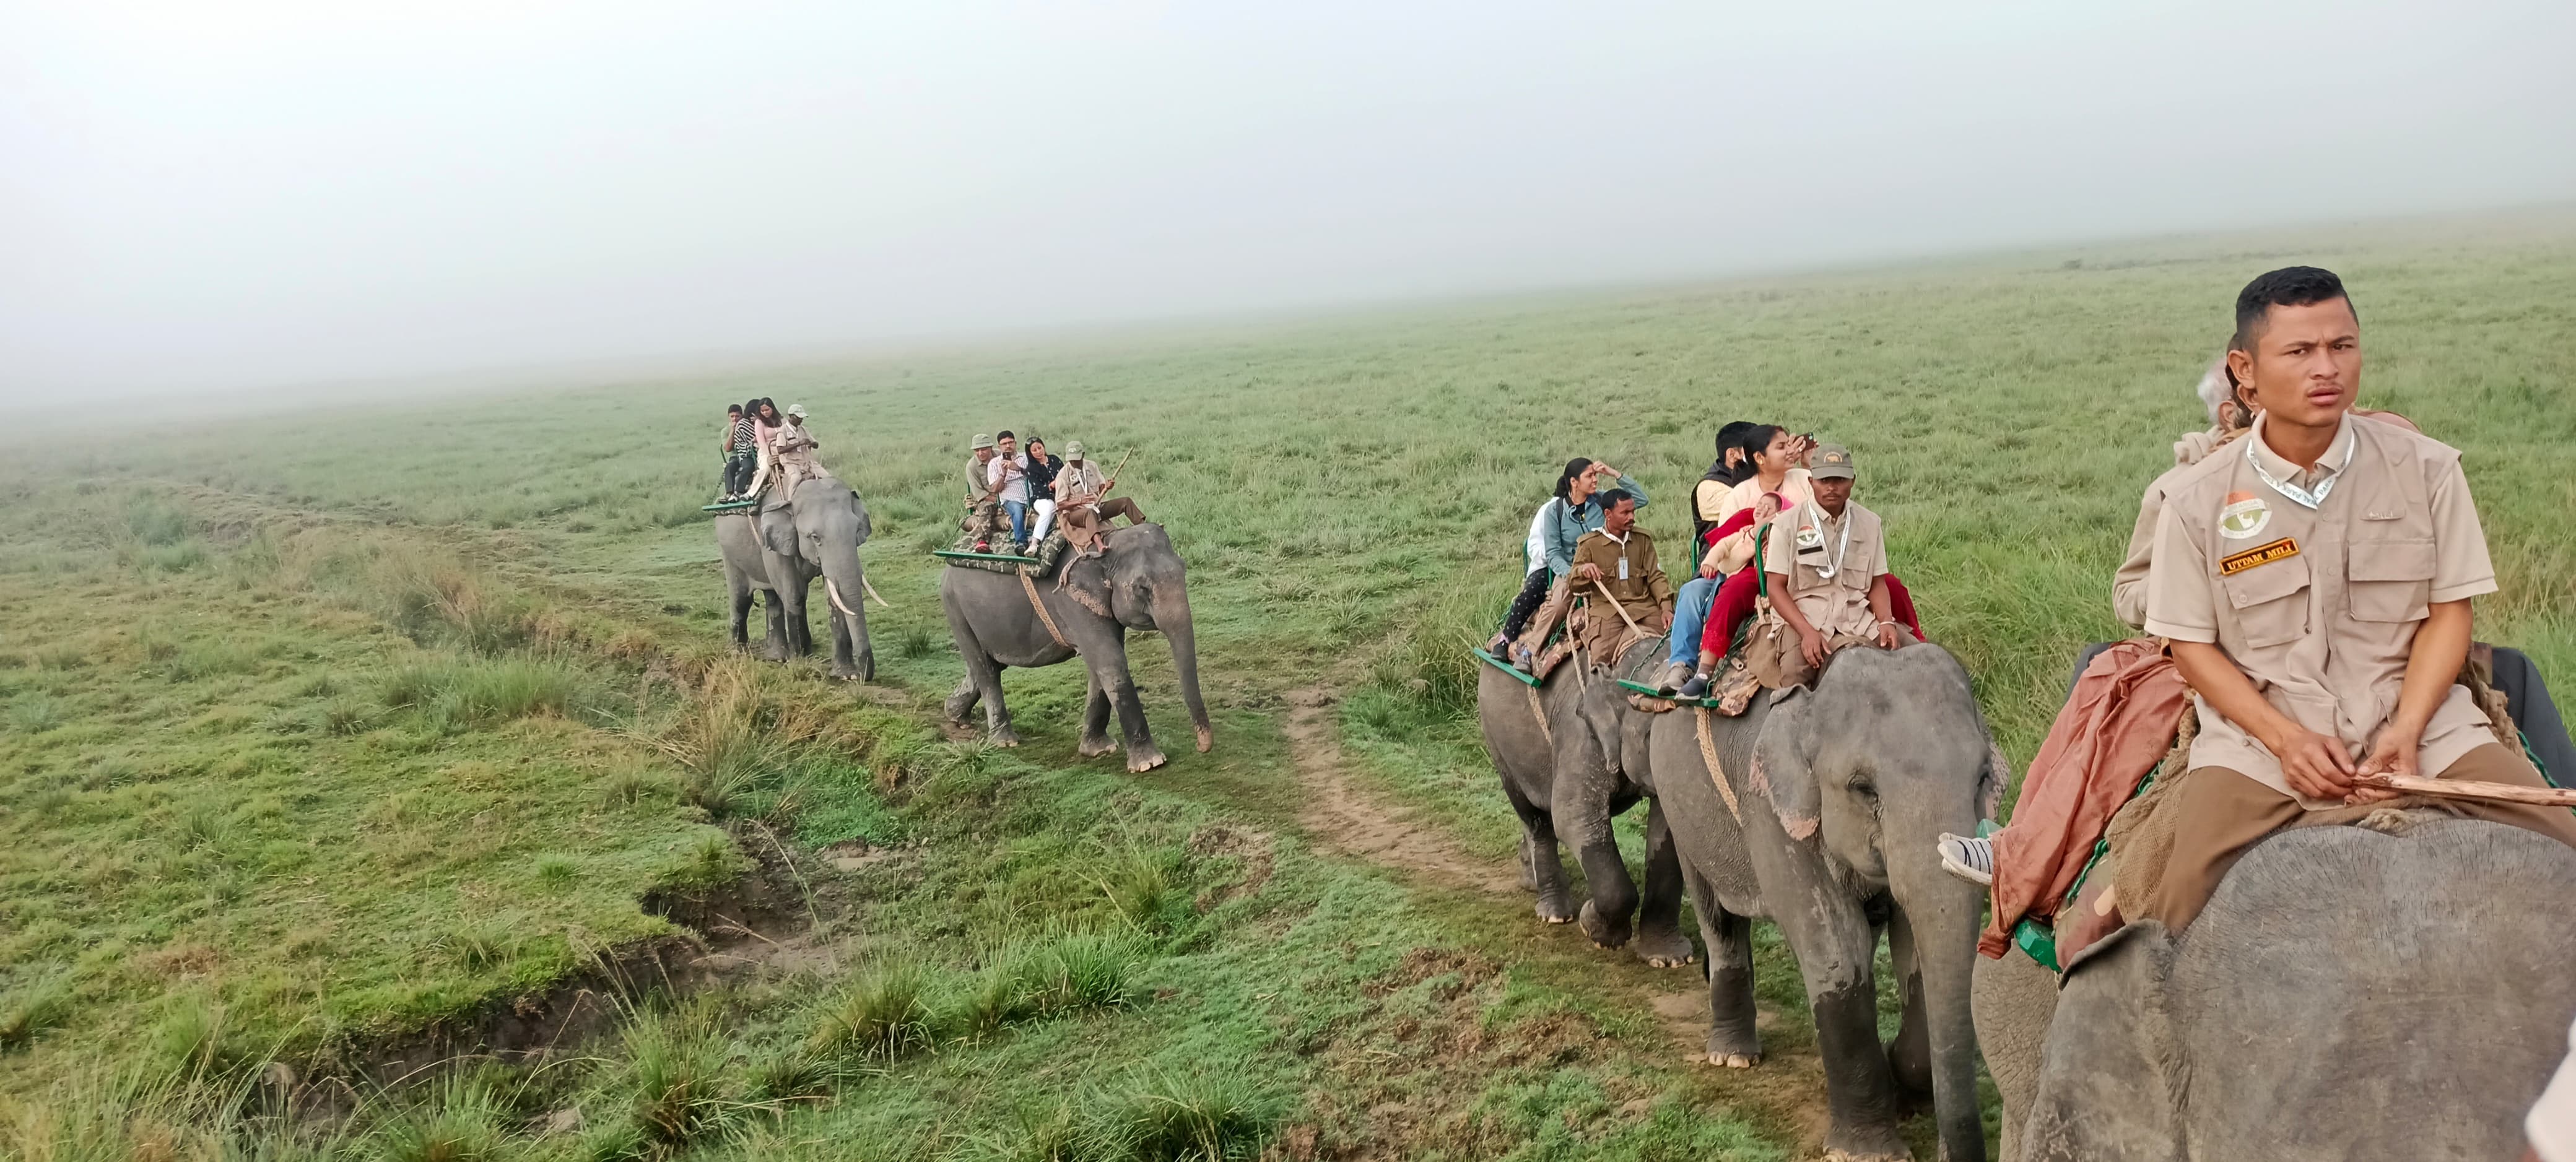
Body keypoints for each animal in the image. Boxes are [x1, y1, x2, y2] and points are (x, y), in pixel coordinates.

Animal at [716, 476, 876, 680]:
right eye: (815, 537)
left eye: (857, 531)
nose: (861, 676)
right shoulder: (774, 542)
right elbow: (795, 595)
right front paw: (801, 665)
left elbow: (834, 598)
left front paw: (845, 675)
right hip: (729, 552)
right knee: (742, 600)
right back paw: (739, 654)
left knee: (772, 598)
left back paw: (777, 657)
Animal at [938, 520, 1205, 773]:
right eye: (1143, 587)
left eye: (1184, 569)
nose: (1202, 748)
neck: (1106, 543)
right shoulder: (1071, 601)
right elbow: (1110, 661)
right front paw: (1150, 764)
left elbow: (1100, 665)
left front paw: (1099, 750)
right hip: (955, 608)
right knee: (985, 668)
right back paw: (1005, 741)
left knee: (988, 665)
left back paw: (956, 716)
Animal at [1484, 631, 1700, 968]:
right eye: (1652, 736)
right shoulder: (1579, 731)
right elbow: (1572, 816)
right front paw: (1594, 928)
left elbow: (1668, 836)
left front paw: (1670, 960)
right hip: (1498, 739)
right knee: (1535, 817)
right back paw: (1555, 913)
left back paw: (1530, 881)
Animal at [1638, 646, 1999, 1162]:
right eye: (1863, 788)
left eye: (1983, 778)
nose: (1950, 1153)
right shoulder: (1769, 807)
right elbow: (1836, 948)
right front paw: (1866, 1152)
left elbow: (1914, 943)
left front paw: (1903, 1084)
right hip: (1681, 806)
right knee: (1719, 917)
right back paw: (1733, 1055)